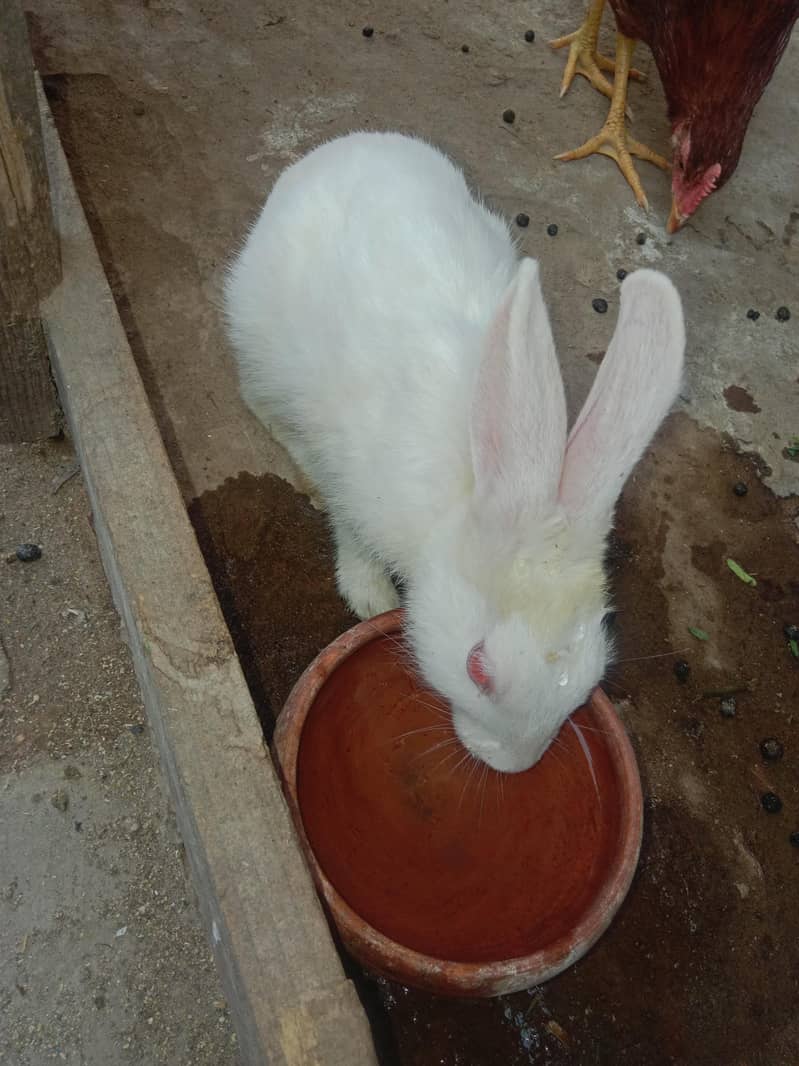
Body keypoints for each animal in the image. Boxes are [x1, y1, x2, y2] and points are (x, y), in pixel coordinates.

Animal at [224, 130, 685, 773]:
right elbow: (351, 536)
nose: (513, 766)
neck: (473, 493)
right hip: (259, 343)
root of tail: (344, 145)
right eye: (477, 670)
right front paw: (370, 597)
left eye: (595, 669)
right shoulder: (353, 486)